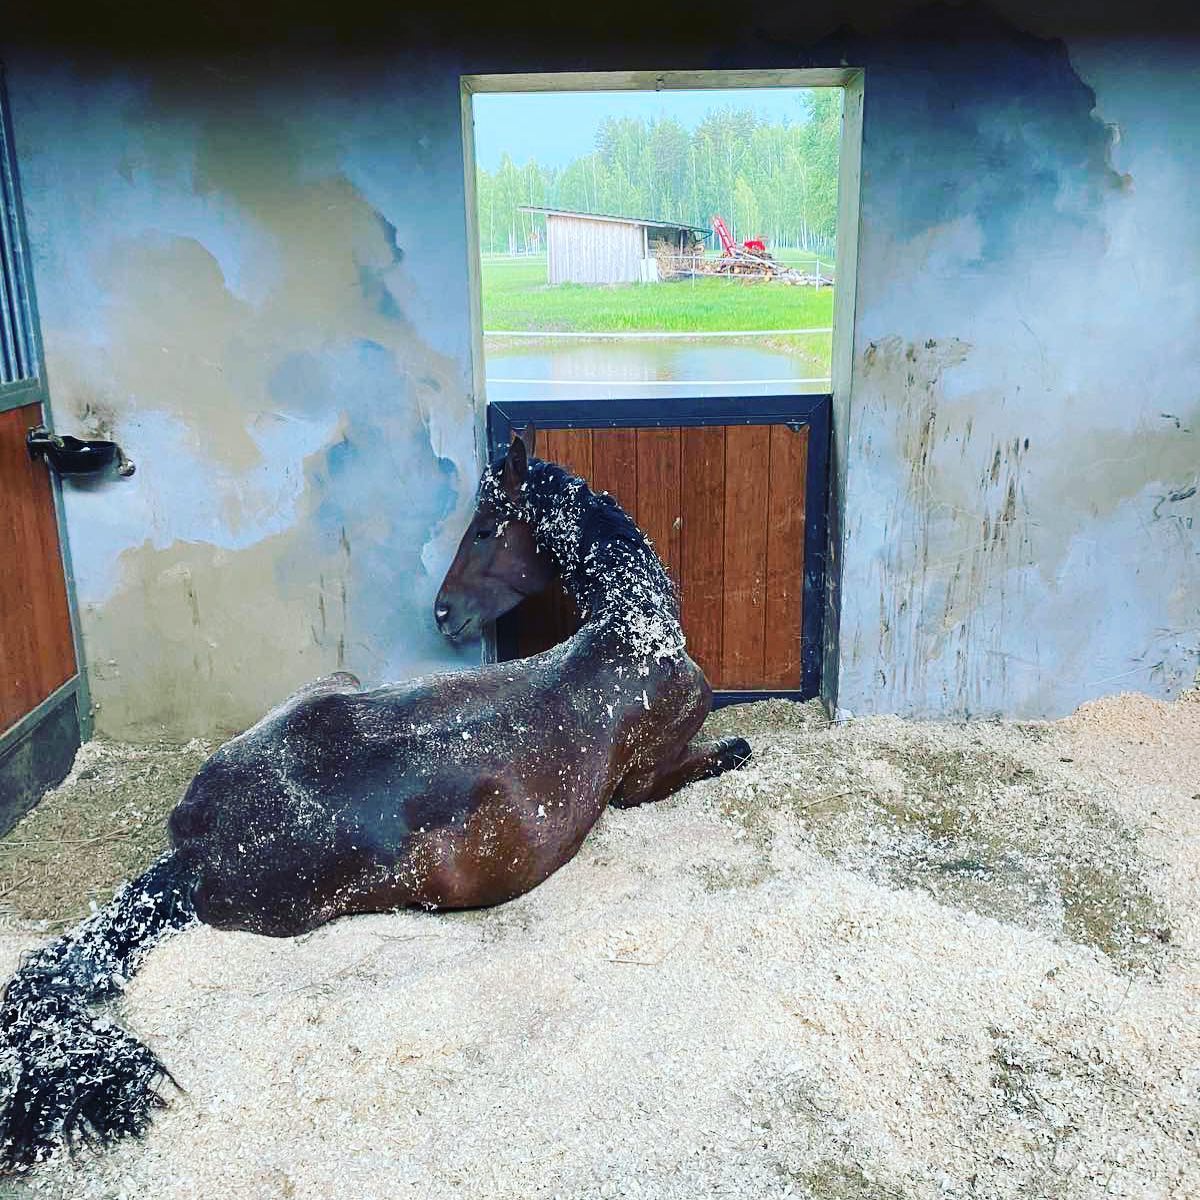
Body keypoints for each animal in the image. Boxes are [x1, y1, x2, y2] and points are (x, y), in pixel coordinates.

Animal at [0, 427, 751, 1168]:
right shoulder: (646, 782)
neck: (630, 633)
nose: (442, 613)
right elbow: (726, 755)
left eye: (485, 530)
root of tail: (195, 848)